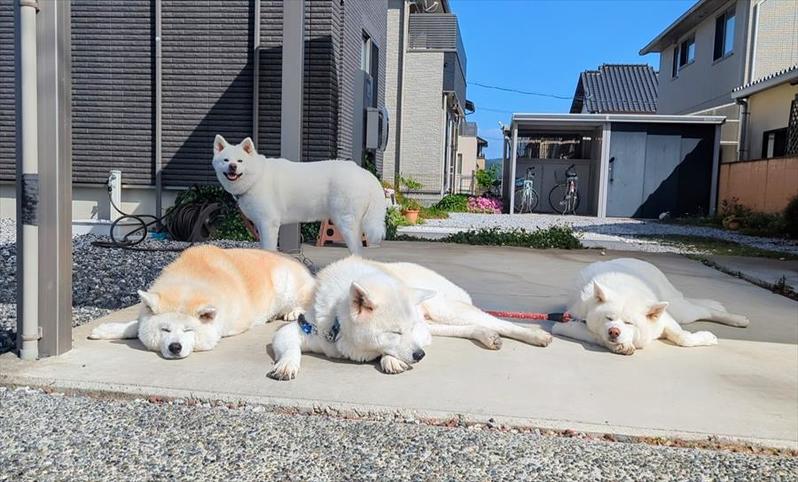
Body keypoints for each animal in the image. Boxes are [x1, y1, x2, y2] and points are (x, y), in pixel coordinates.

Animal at [87, 245, 312, 358]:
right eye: (165, 330)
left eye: (189, 330)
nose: (175, 347)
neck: (192, 277)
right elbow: (135, 325)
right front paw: (107, 330)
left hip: (286, 283)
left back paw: (292, 311)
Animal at [268, 256, 552, 380]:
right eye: (395, 331)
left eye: (408, 329)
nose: (420, 356)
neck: (337, 328)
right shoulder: (303, 328)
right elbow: (289, 346)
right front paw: (287, 365)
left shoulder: (420, 332)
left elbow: (391, 352)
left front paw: (391, 360)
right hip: (438, 322)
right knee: (471, 327)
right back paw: (487, 336)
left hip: (445, 309)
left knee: (498, 322)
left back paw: (535, 334)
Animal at [556, 258, 752, 356]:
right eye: (608, 318)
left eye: (629, 323)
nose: (614, 332)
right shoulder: (566, 324)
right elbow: (597, 336)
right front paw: (621, 346)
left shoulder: (665, 319)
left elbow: (683, 337)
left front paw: (705, 338)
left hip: (679, 309)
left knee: (703, 310)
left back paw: (737, 319)